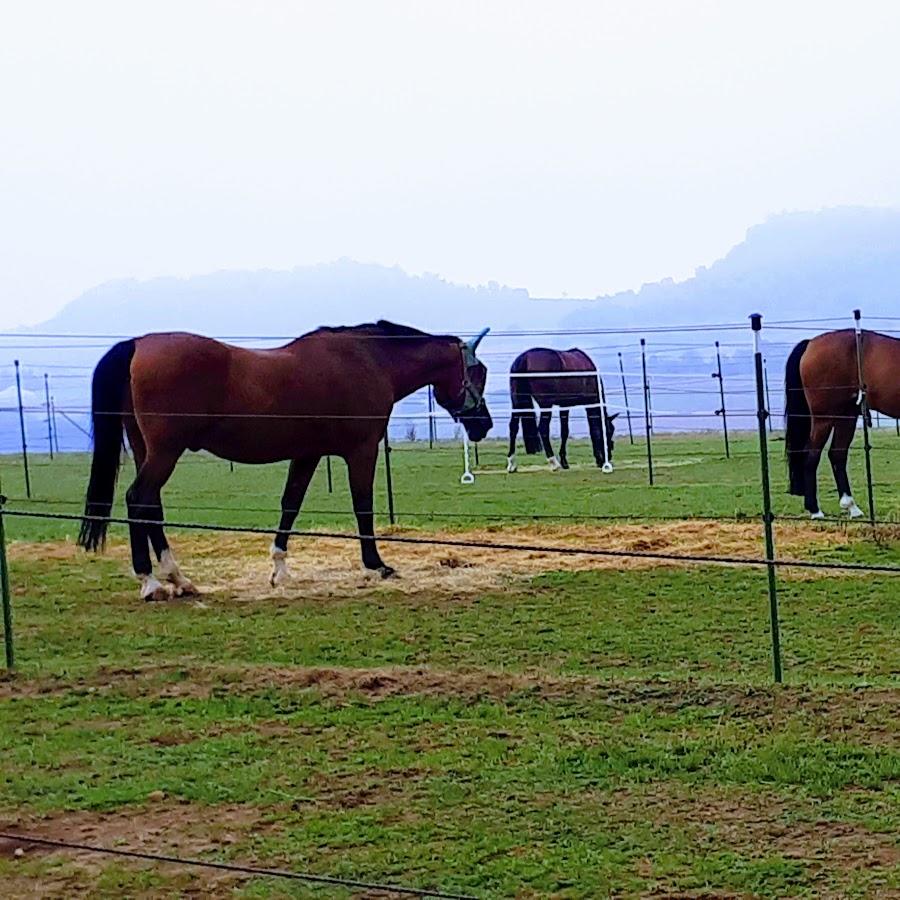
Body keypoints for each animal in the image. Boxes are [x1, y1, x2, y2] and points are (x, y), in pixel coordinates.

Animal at [77, 320, 492, 600]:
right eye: (480, 372)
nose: (483, 425)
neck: (367, 361)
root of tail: (137, 345)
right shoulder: (361, 451)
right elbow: (363, 506)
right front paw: (377, 565)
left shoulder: (307, 455)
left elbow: (290, 504)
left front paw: (280, 570)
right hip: (165, 451)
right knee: (138, 499)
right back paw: (151, 582)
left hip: (148, 450)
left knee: (151, 506)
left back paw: (179, 580)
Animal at [510, 344, 616, 474]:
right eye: (610, 431)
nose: (609, 457)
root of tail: (524, 358)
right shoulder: (589, 404)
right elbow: (594, 430)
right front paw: (599, 460)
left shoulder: (564, 406)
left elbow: (564, 431)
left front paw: (565, 462)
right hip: (546, 405)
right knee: (543, 429)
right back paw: (554, 463)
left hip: (517, 403)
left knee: (513, 427)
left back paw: (512, 464)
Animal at [784, 326, 896, 516]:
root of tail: (810, 343)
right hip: (824, 419)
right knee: (812, 455)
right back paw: (815, 510)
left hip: (846, 416)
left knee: (837, 454)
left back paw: (851, 506)